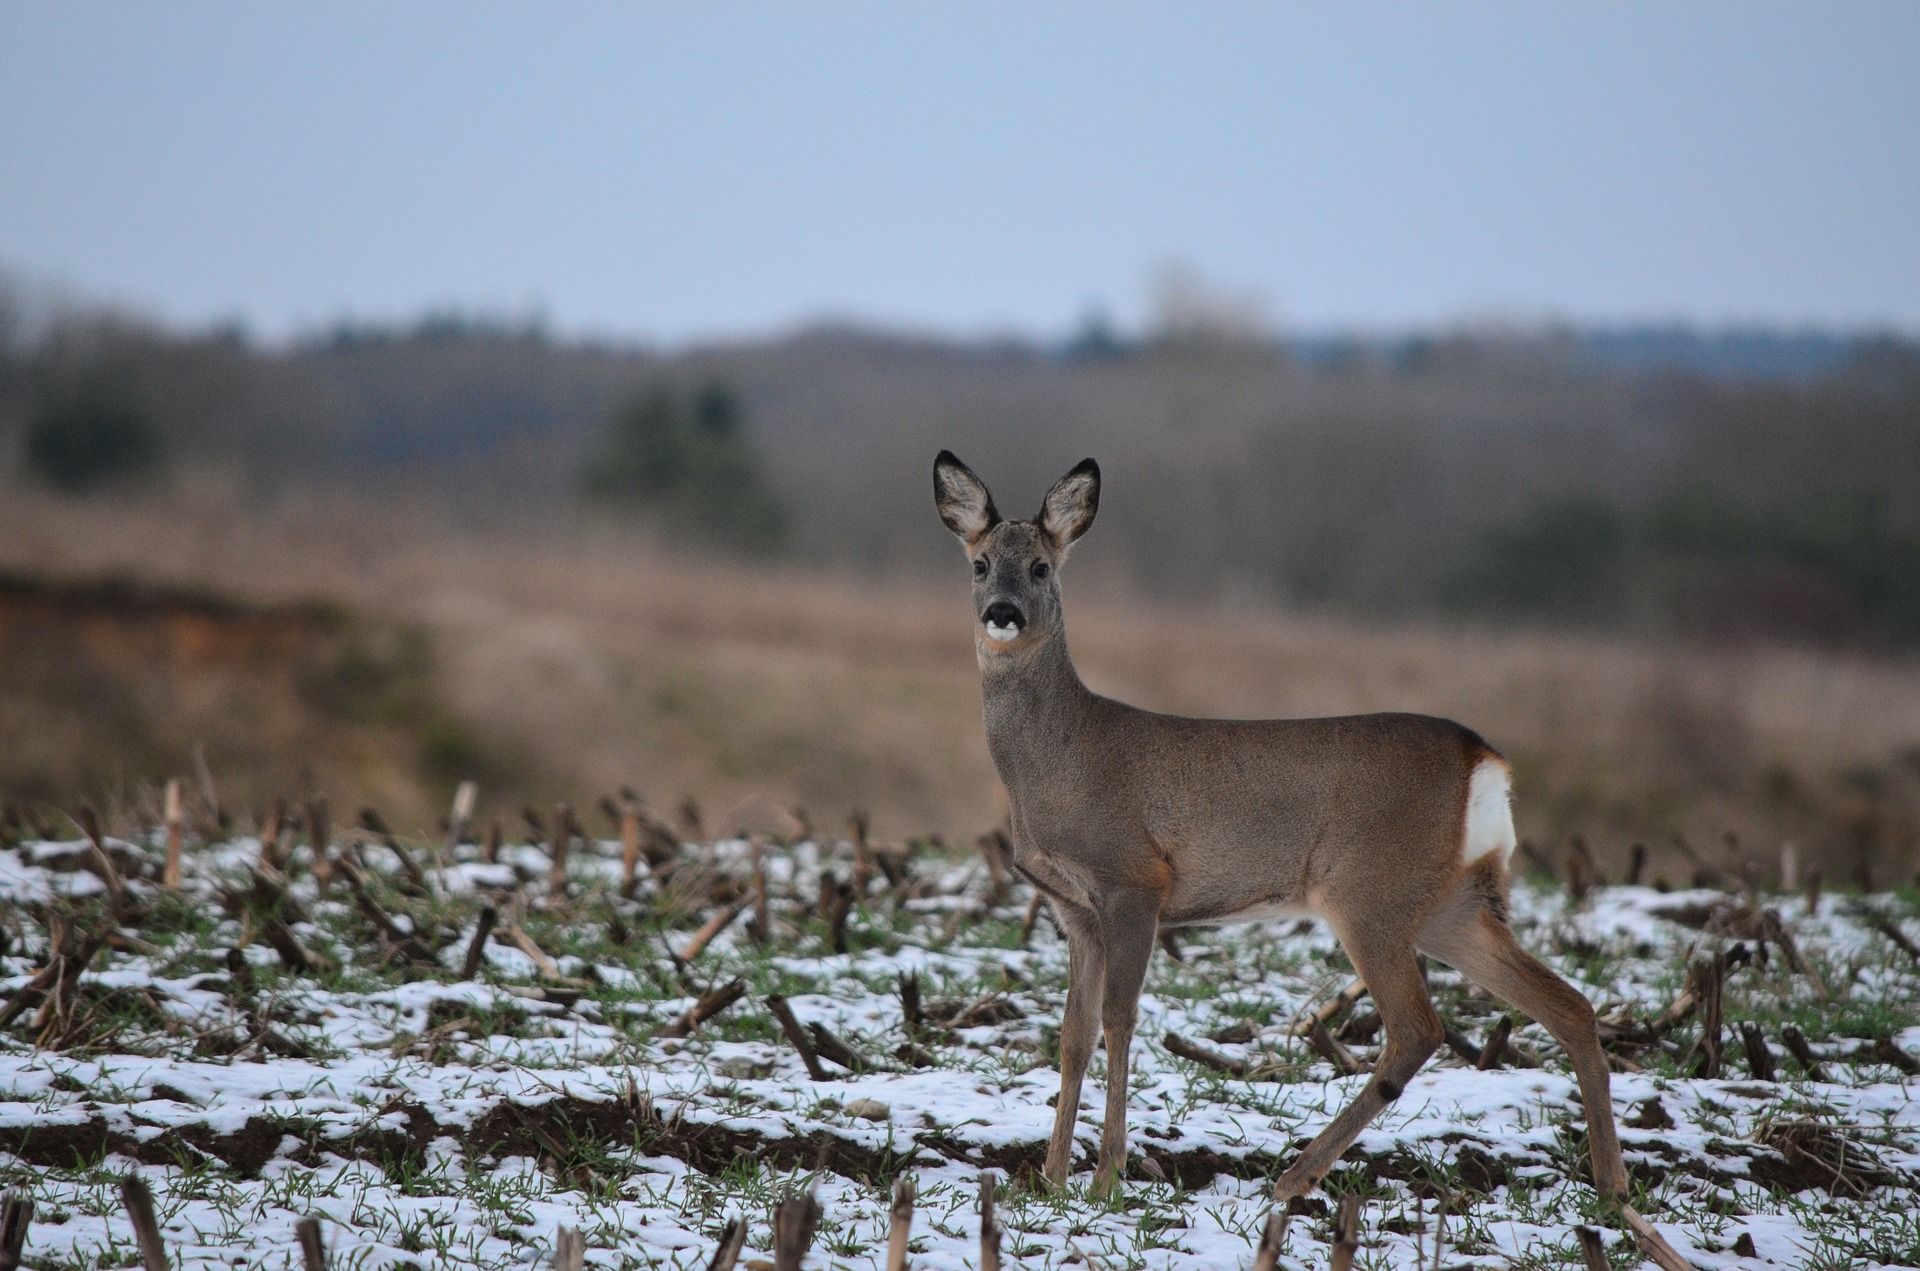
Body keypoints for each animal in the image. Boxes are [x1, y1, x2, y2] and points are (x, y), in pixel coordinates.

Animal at [929, 455, 1620, 1205]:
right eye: (979, 563)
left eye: (1040, 566)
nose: (1002, 612)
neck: (1060, 760)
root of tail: (1485, 760)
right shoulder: (1072, 906)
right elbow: (1072, 1032)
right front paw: (1050, 1178)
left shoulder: (1134, 879)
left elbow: (1119, 1018)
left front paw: (1107, 1176)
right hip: (1451, 903)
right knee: (1570, 1005)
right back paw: (1613, 1186)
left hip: (1368, 891)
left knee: (1418, 1027)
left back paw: (1295, 1175)